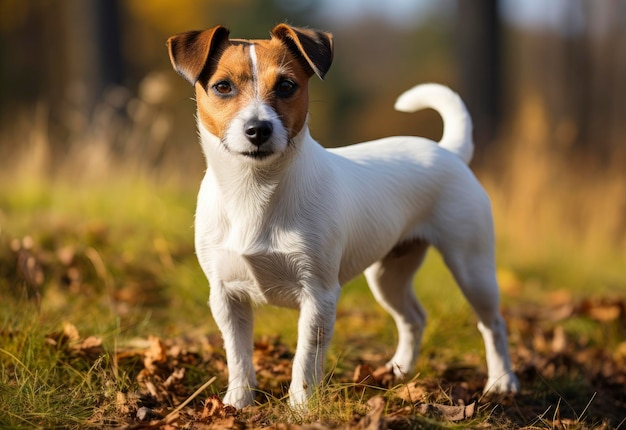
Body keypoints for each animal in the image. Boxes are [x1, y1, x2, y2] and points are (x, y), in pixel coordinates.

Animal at [168, 23, 520, 410]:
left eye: (286, 86)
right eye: (222, 87)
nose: (258, 129)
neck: (254, 191)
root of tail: (448, 151)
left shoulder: (319, 295)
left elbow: (305, 360)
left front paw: (301, 408)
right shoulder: (226, 297)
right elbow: (238, 354)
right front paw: (238, 401)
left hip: (472, 268)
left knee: (493, 324)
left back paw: (502, 381)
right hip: (388, 275)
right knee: (413, 318)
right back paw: (399, 370)